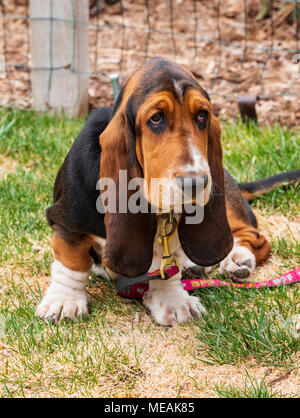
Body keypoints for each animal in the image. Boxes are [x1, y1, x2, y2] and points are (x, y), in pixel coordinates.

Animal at [35, 56, 298, 326]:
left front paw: (173, 301)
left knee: (253, 237)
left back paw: (237, 258)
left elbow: (165, 266)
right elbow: (72, 261)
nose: (196, 182)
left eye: (202, 115)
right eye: (156, 118)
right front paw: (64, 301)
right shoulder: (66, 221)